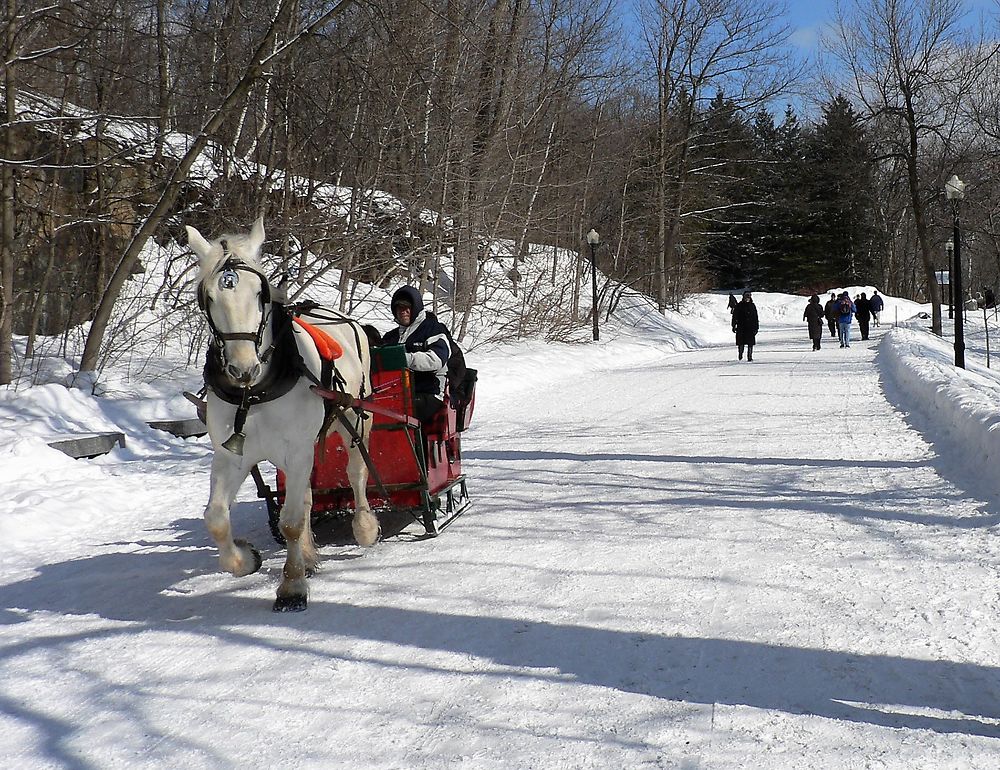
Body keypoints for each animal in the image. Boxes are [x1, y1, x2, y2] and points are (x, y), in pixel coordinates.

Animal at [186, 219, 380, 608]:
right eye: (208, 297)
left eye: (260, 295)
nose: (242, 368)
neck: (256, 392)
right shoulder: (233, 455)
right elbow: (216, 518)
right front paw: (245, 560)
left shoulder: (299, 448)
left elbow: (289, 522)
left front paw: (292, 587)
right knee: (304, 496)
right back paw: (307, 554)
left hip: (353, 419)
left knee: (356, 473)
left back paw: (364, 526)